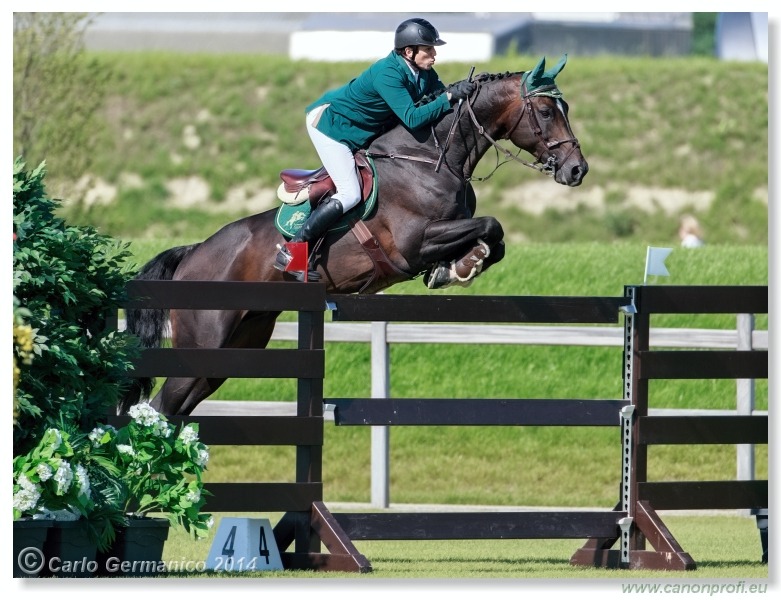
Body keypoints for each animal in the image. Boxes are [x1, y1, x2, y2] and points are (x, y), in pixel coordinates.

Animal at [120, 55, 584, 418]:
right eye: (546, 112)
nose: (577, 169)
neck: (429, 157)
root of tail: (193, 253)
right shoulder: (414, 243)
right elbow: (491, 225)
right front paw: (459, 266)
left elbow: (495, 239)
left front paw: (459, 266)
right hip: (205, 341)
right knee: (160, 406)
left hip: (233, 349)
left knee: (175, 408)